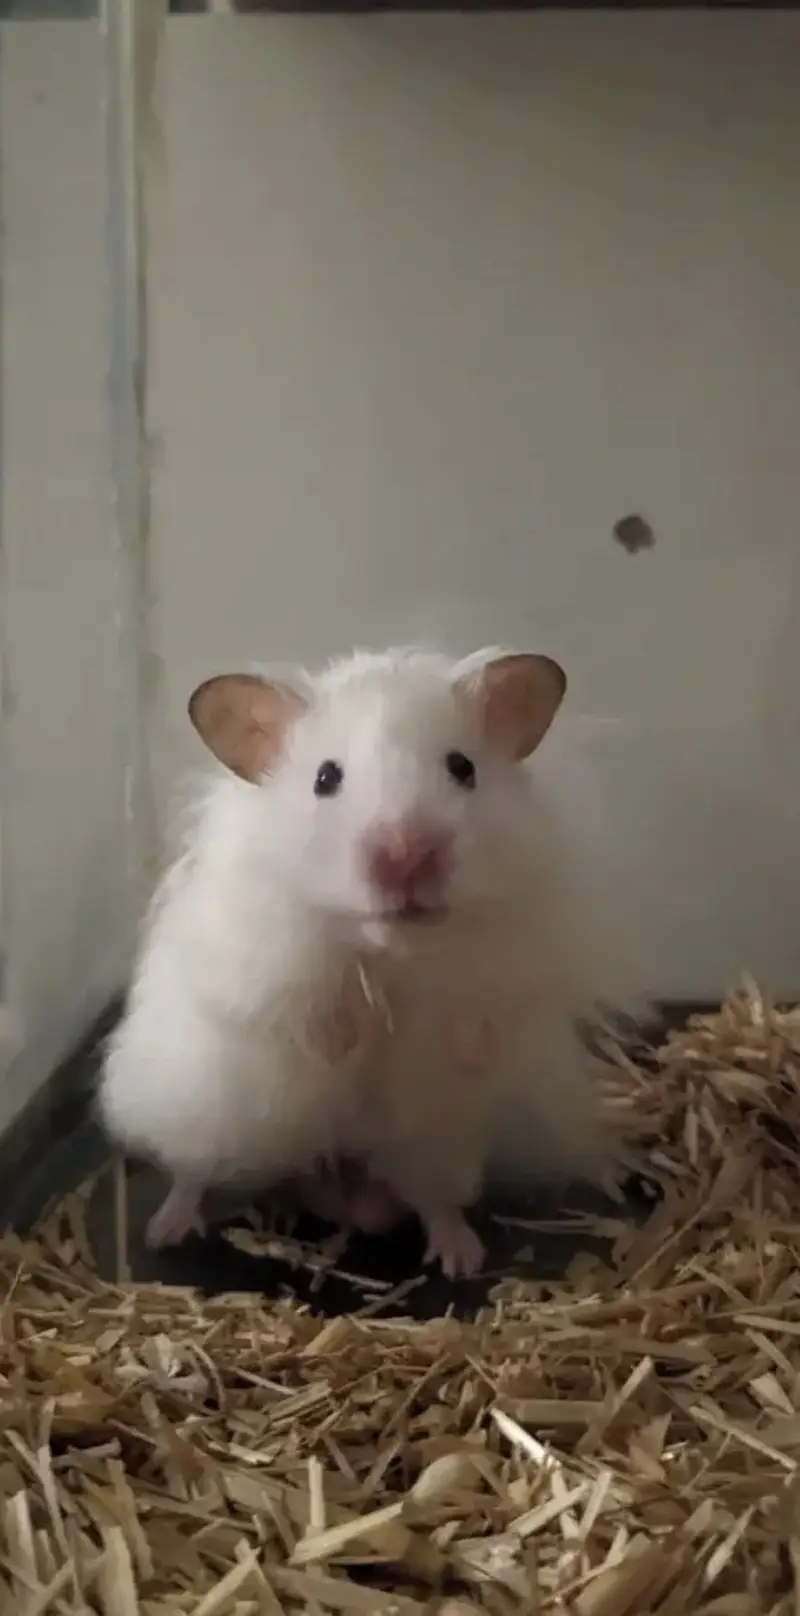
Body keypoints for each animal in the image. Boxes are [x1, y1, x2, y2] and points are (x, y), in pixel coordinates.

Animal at [100, 646, 643, 1277]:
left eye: (463, 767)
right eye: (325, 778)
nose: (406, 856)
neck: (392, 949)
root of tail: (335, 1177)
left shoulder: (515, 950)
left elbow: (478, 1008)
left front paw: (466, 1052)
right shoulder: (255, 952)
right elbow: (305, 1003)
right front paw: (345, 1044)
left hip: (436, 1143)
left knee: (433, 1199)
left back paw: (459, 1256)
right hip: (204, 1116)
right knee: (193, 1173)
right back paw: (168, 1229)